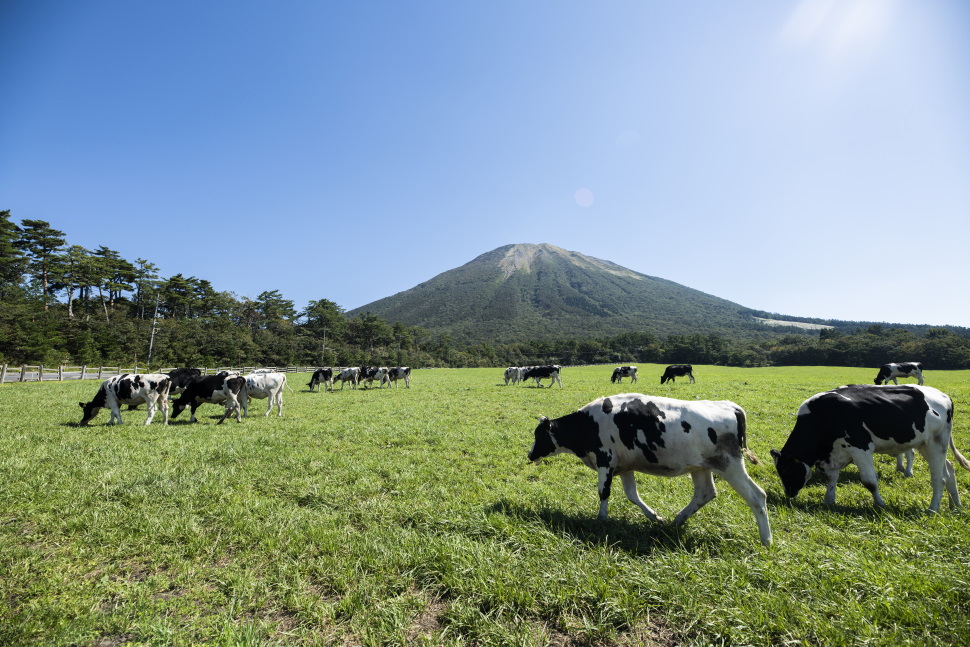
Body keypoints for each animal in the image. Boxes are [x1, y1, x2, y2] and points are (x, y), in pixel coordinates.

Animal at [528, 392, 772, 548]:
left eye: (538, 435)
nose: (529, 455)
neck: (588, 423)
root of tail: (729, 406)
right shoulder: (624, 466)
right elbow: (632, 495)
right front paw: (656, 517)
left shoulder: (605, 460)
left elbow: (604, 493)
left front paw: (601, 520)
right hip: (701, 466)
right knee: (705, 493)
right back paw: (676, 521)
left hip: (730, 464)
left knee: (757, 496)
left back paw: (766, 540)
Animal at [768, 384, 964, 516]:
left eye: (785, 470)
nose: (789, 494)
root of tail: (944, 396)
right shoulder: (834, 454)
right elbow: (831, 478)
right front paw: (828, 500)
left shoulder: (860, 448)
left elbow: (869, 481)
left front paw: (880, 504)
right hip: (927, 445)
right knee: (949, 470)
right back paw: (956, 505)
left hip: (936, 443)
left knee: (938, 478)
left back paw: (933, 509)